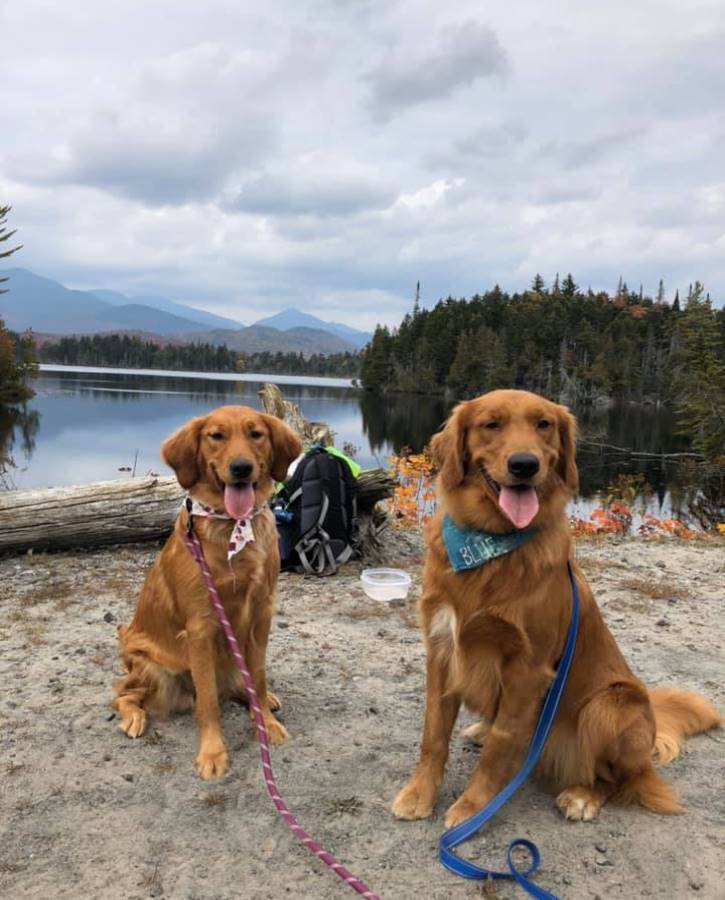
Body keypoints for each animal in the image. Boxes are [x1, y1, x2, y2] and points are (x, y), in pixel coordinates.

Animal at [111, 408, 302, 780]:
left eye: (256, 434)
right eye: (216, 436)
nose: (241, 467)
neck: (233, 525)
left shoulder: (261, 616)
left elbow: (257, 679)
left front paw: (266, 723)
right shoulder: (201, 627)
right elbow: (209, 701)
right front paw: (213, 753)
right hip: (154, 667)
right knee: (124, 692)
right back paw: (134, 717)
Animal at [394, 390, 720, 828]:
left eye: (543, 425)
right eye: (491, 424)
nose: (524, 464)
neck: (490, 548)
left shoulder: (528, 668)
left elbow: (501, 746)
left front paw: (473, 808)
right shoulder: (442, 649)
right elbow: (433, 734)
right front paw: (419, 794)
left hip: (611, 705)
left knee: (623, 780)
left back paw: (583, 796)